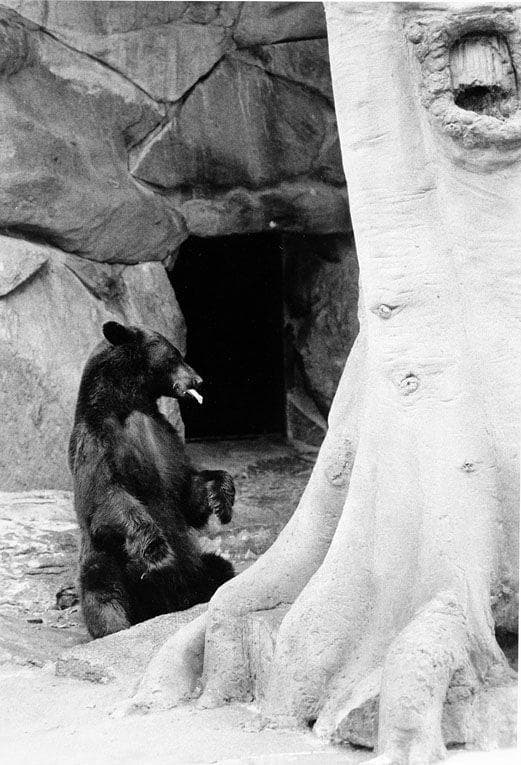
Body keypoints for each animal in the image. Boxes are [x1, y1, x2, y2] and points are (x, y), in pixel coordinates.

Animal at [68, 320, 235, 639]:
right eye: (175, 355)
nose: (198, 379)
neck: (129, 404)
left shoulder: (165, 437)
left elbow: (185, 489)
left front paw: (221, 498)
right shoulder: (96, 442)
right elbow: (107, 496)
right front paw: (157, 551)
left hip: (196, 567)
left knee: (220, 567)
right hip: (107, 559)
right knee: (103, 594)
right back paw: (116, 626)